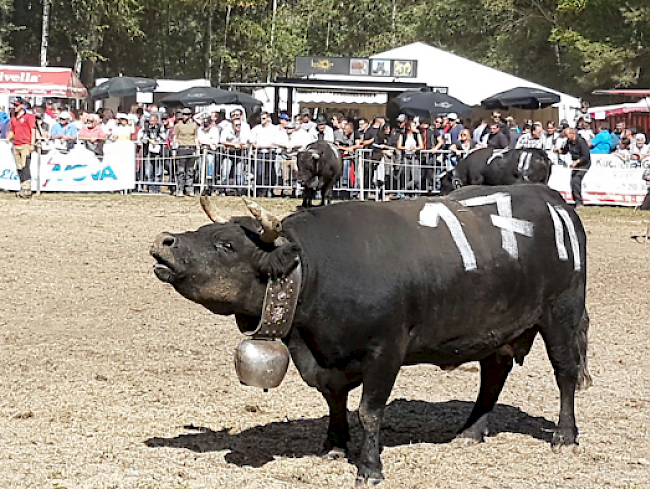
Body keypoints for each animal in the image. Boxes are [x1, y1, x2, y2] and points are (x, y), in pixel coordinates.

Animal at [149, 185, 588, 486]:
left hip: (561, 314)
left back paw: (565, 435)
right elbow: (336, 401)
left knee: (565, 373)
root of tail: (552, 199)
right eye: (205, 229)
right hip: (496, 329)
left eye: (227, 244)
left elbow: (369, 411)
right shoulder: (328, 362)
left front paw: (369, 467)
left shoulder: (386, 350)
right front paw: (334, 446)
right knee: (494, 374)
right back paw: (470, 432)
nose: (164, 240)